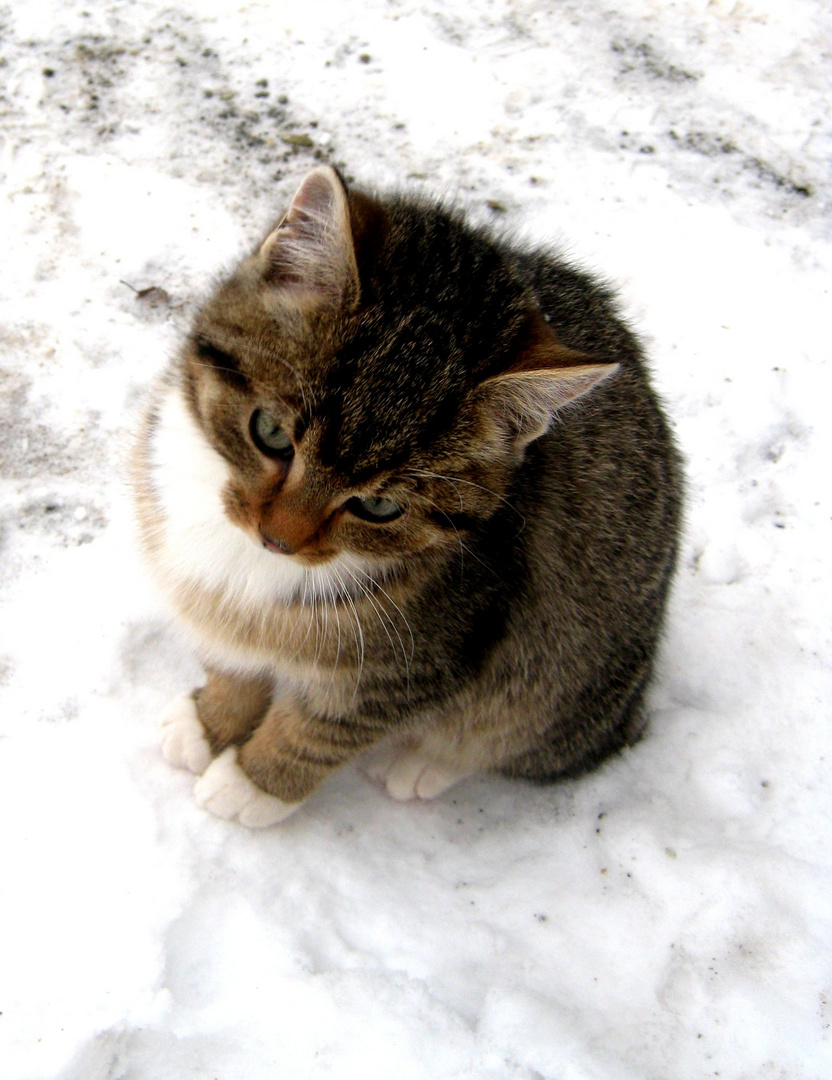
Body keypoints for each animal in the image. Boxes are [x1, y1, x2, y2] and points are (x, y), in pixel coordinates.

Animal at [132, 166, 682, 825]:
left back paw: (427, 763)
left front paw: (254, 782)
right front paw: (211, 718)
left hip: (561, 677)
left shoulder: (426, 656)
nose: (277, 540)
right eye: (270, 433)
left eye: (379, 507)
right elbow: (232, 659)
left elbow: (324, 727)